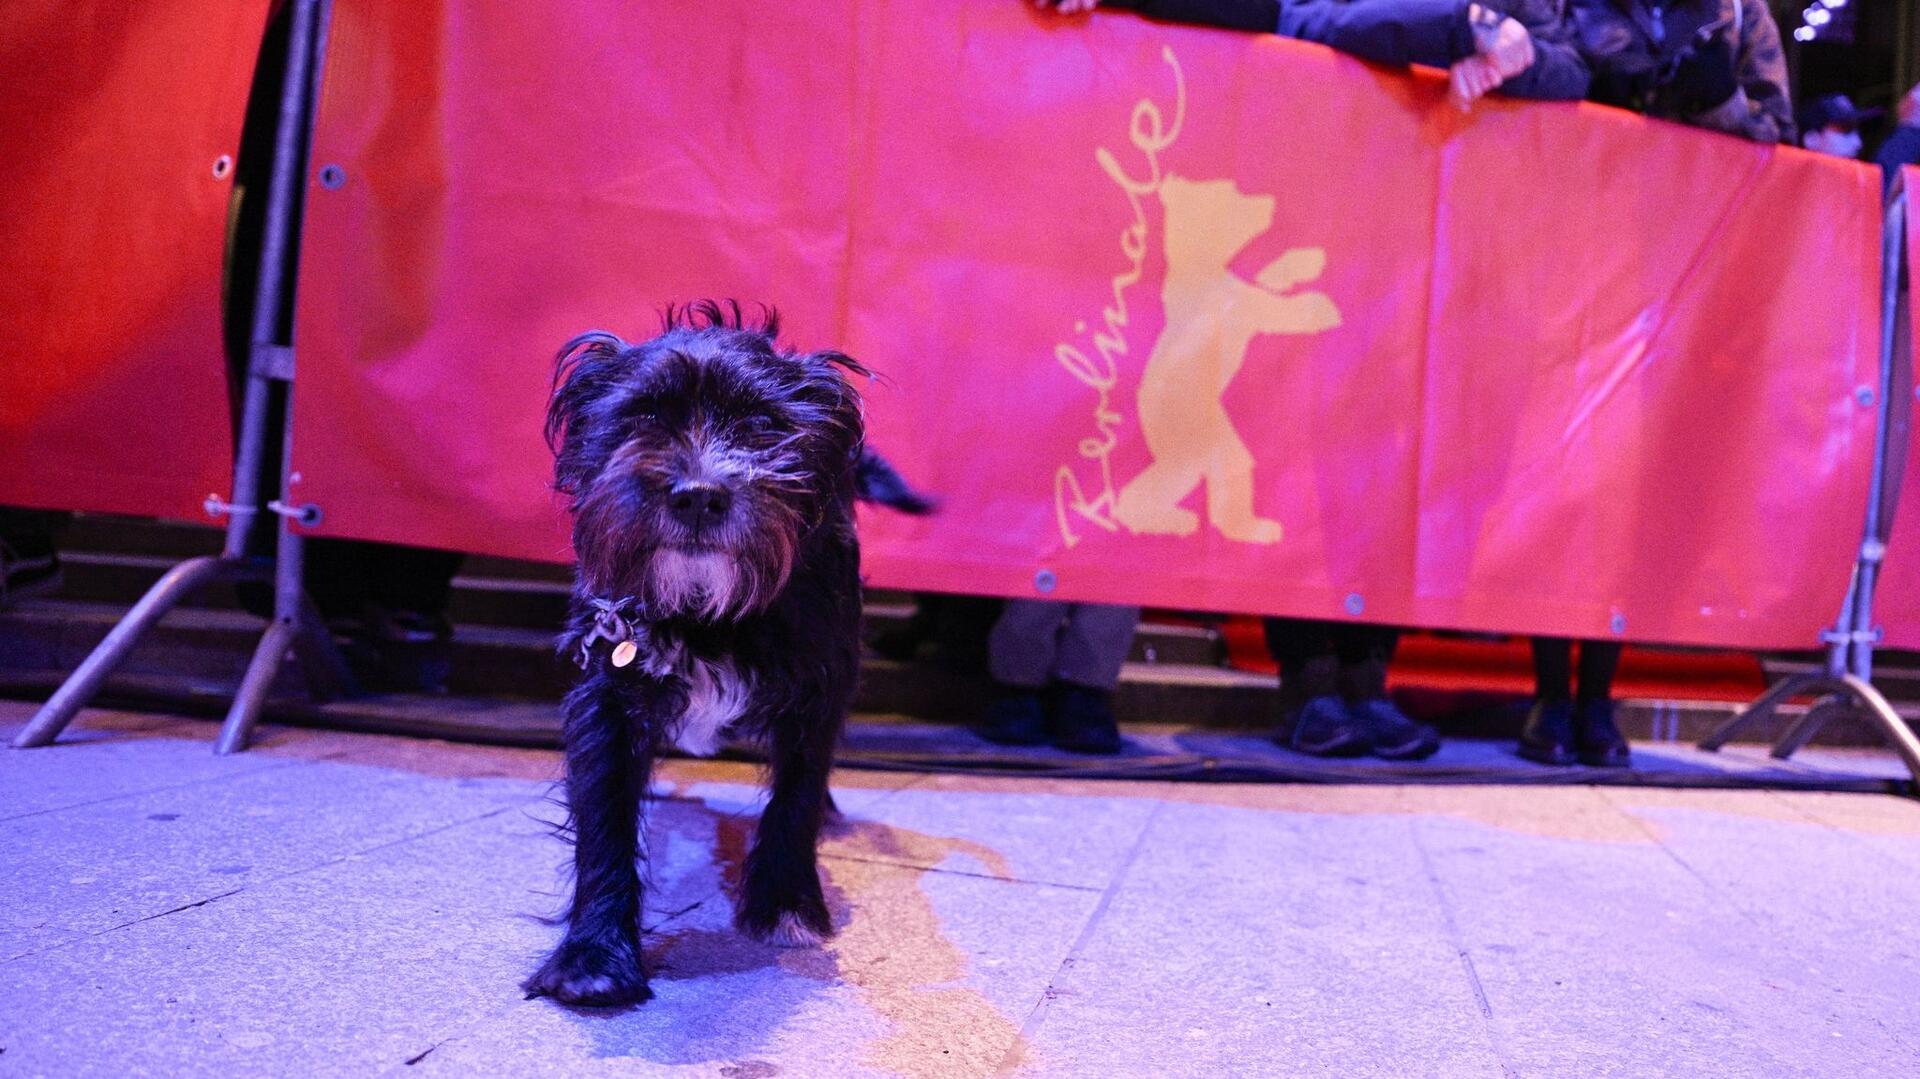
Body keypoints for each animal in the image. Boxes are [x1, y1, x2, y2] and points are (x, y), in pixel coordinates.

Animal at [526, 297, 929, 1006]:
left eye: (764, 424)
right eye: (644, 416)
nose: (697, 495)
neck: (706, 612)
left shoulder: (818, 688)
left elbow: (796, 795)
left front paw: (787, 903)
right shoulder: (606, 691)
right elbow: (603, 817)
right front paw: (594, 955)